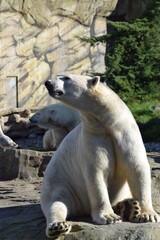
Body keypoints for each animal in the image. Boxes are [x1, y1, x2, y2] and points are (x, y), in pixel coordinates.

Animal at [41, 74, 160, 238]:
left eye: (66, 77)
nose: (48, 83)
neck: (109, 122)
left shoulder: (126, 133)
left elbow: (137, 167)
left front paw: (149, 215)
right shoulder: (94, 136)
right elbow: (97, 173)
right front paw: (109, 217)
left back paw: (129, 207)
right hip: (59, 183)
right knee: (56, 203)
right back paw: (58, 226)